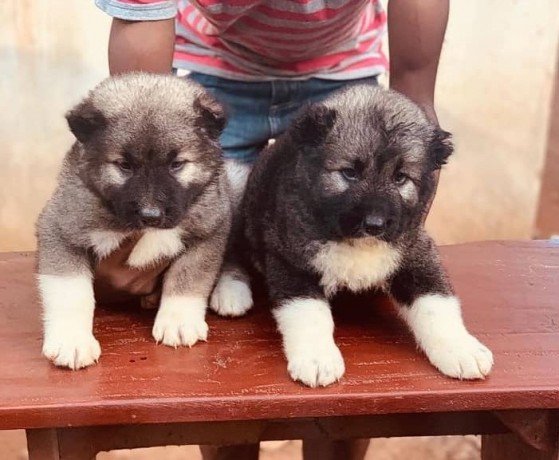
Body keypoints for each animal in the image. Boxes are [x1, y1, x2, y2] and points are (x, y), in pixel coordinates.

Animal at [36, 73, 231, 370]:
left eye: (176, 164)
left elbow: (188, 277)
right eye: (124, 165)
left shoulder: (209, 229)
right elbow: (71, 291)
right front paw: (72, 341)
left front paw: (178, 321)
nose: (151, 215)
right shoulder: (60, 229)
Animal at [241, 84, 494, 386]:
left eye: (400, 177)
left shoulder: (417, 253)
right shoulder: (290, 261)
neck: (358, 242)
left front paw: (461, 348)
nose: (374, 224)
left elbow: (437, 303)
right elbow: (308, 313)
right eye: (349, 173)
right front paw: (317, 357)